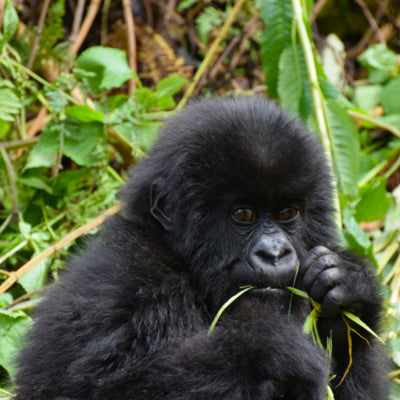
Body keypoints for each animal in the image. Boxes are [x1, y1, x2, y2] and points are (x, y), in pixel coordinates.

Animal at [16, 97, 388, 400]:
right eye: (243, 215)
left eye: (287, 213)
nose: (275, 253)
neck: (185, 266)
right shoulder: (130, 285)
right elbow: (101, 389)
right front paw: (270, 350)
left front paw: (350, 291)